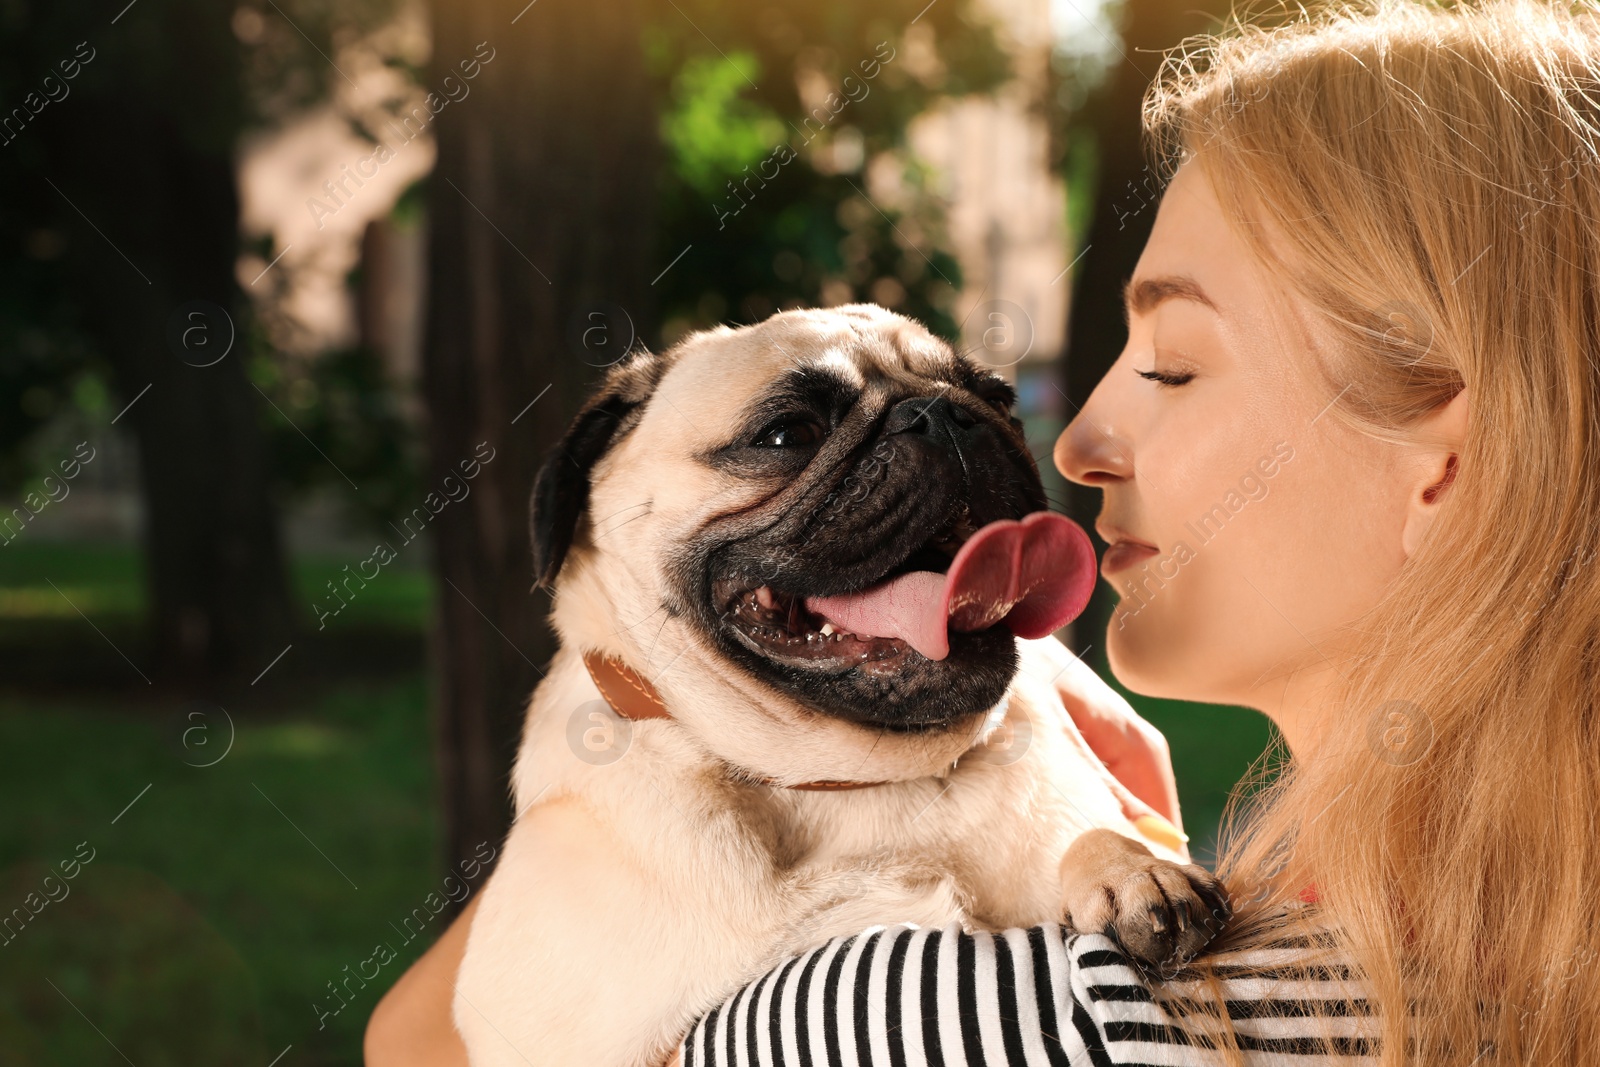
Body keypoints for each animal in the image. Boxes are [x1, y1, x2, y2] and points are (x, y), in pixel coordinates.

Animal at [457, 302, 1228, 1067]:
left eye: (999, 398)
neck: (855, 786)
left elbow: (1096, 835)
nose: (944, 414)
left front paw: (1129, 871)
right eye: (788, 434)